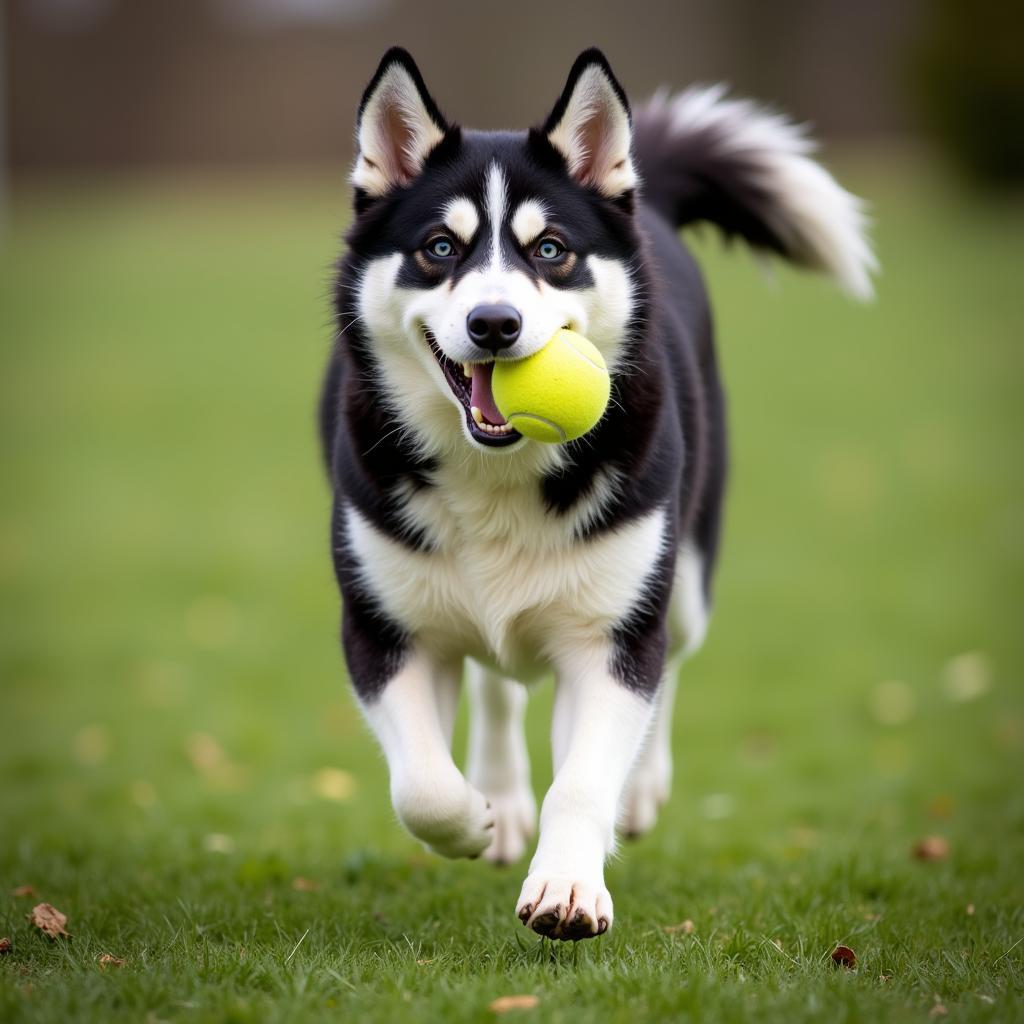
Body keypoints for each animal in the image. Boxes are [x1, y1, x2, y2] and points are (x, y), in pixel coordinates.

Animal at [317, 49, 872, 942]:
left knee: (669, 657)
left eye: (550, 249)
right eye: (439, 247)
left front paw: (569, 885)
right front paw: (477, 819)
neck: (499, 476)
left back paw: (637, 790)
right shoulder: (381, 626)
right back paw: (502, 798)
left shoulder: (610, 635)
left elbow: (583, 775)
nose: (496, 324)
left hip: (685, 573)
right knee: (497, 686)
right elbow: (423, 787)